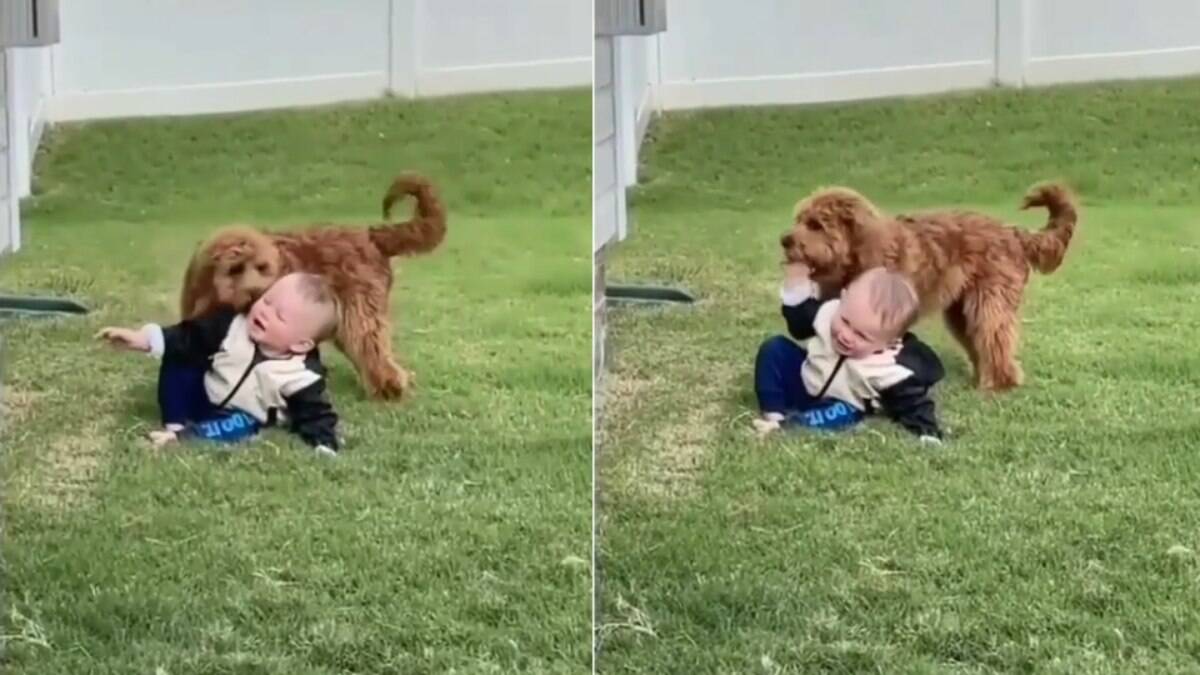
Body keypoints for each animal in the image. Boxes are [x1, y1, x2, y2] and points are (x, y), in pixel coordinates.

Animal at [184, 170, 448, 398]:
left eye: (263, 267)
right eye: (235, 268)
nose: (256, 295)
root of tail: (370, 235)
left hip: (360, 315)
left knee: (374, 352)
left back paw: (388, 389)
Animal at [787, 181, 1080, 391]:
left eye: (816, 224)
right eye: (799, 219)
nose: (784, 240)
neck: (860, 251)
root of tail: (1014, 233)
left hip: (990, 301)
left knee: (996, 339)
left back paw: (999, 383)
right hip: (961, 310)